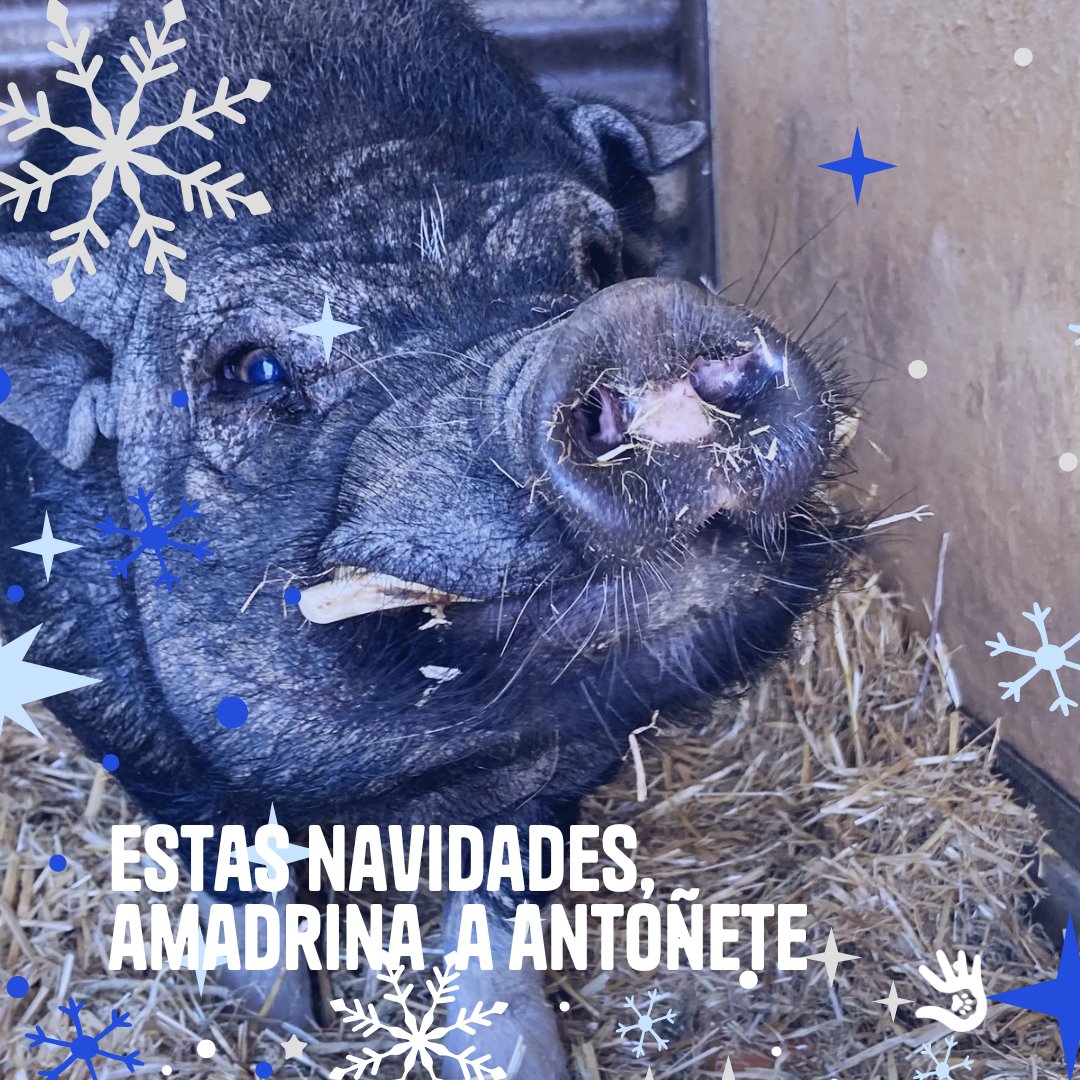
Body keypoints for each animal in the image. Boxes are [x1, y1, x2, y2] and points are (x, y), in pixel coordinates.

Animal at [0, 0, 854, 1075]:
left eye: (597, 263)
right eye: (254, 368)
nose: (645, 315)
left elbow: (496, 906)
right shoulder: (126, 723)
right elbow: (245, 894)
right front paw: (283, 1034)